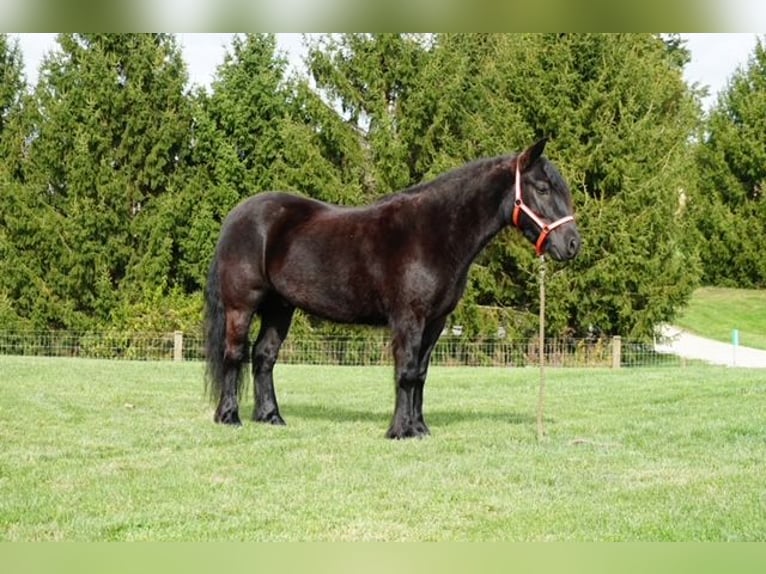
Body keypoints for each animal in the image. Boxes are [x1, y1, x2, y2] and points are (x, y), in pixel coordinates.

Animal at [204, 138, 580, 439]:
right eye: (542, 188)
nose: (573, 244)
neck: (433, 232)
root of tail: (236, 217)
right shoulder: (408, 318)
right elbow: (406, 372)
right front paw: (400, 431)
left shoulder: (436, 322)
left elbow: (422, 375)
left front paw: (420, 428)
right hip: (242, 305)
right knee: (234, 354)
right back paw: (229, 417)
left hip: (280, 308)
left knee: (264, 356)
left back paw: (271, 417)